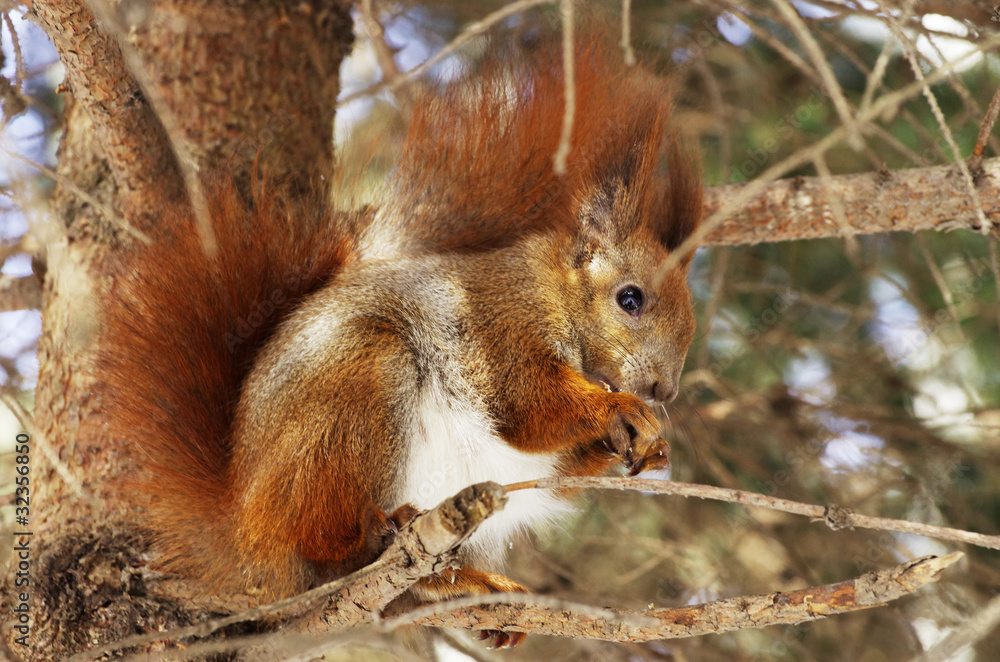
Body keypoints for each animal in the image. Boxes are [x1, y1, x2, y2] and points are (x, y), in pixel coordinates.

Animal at [96, 34, 702, 648]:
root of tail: (244, 539)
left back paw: (475, 587)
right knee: (329, 550)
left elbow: (556, 459)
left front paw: (649, 451)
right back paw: (376, 538)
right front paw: (620, 410)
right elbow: (525, 404)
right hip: (355, 394)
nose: (664, 391)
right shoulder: (500, 324)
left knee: (404, 592)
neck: (553, 291)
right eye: (630, 299)